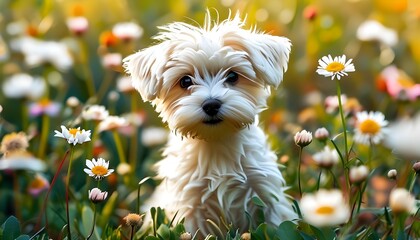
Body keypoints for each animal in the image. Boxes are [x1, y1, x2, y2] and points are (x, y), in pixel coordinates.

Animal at [123, 10, 296, 236]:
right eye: (185, 81)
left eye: (232, 76)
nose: (211, 104)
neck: (216, 144)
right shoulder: (189, 208)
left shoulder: (267, 196)